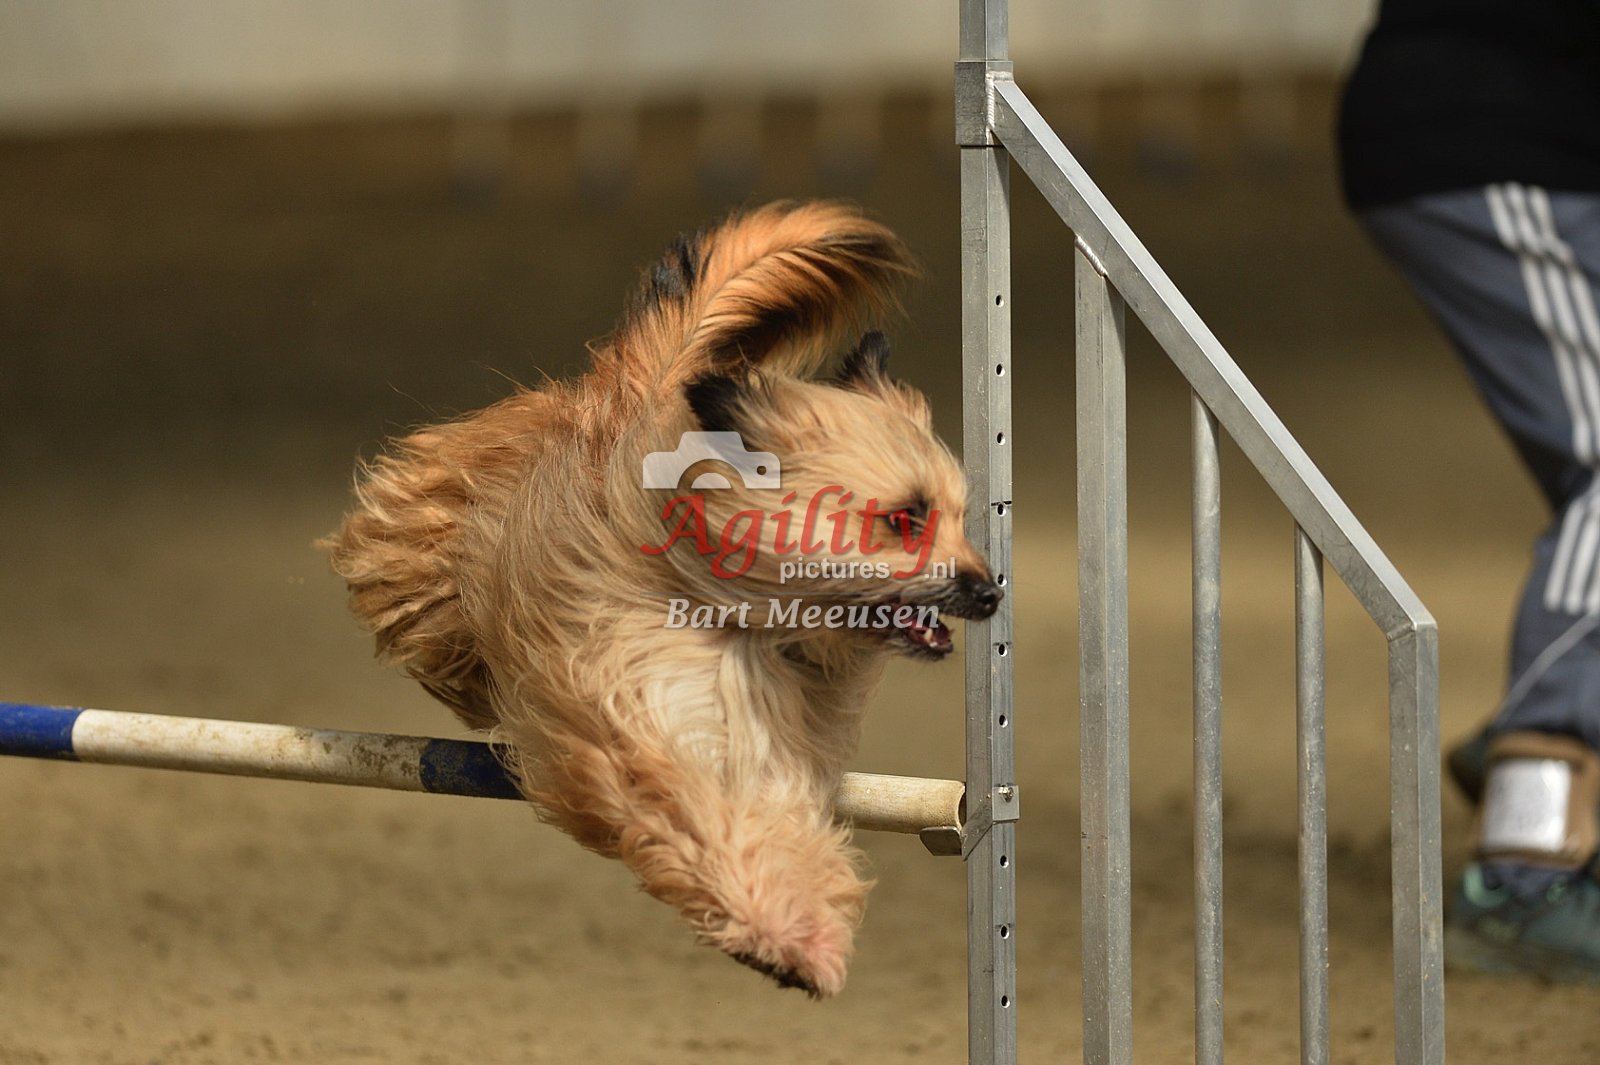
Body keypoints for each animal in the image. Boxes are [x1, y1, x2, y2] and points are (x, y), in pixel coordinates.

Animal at [323, 202, 1001, 997]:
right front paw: (783, 933)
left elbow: (775, 818)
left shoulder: (769, 741)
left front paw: (802, 928)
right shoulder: (644, 712)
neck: (749, 623)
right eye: (905, 517)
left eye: (960, 515)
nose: (991, 592)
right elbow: (706, 813)